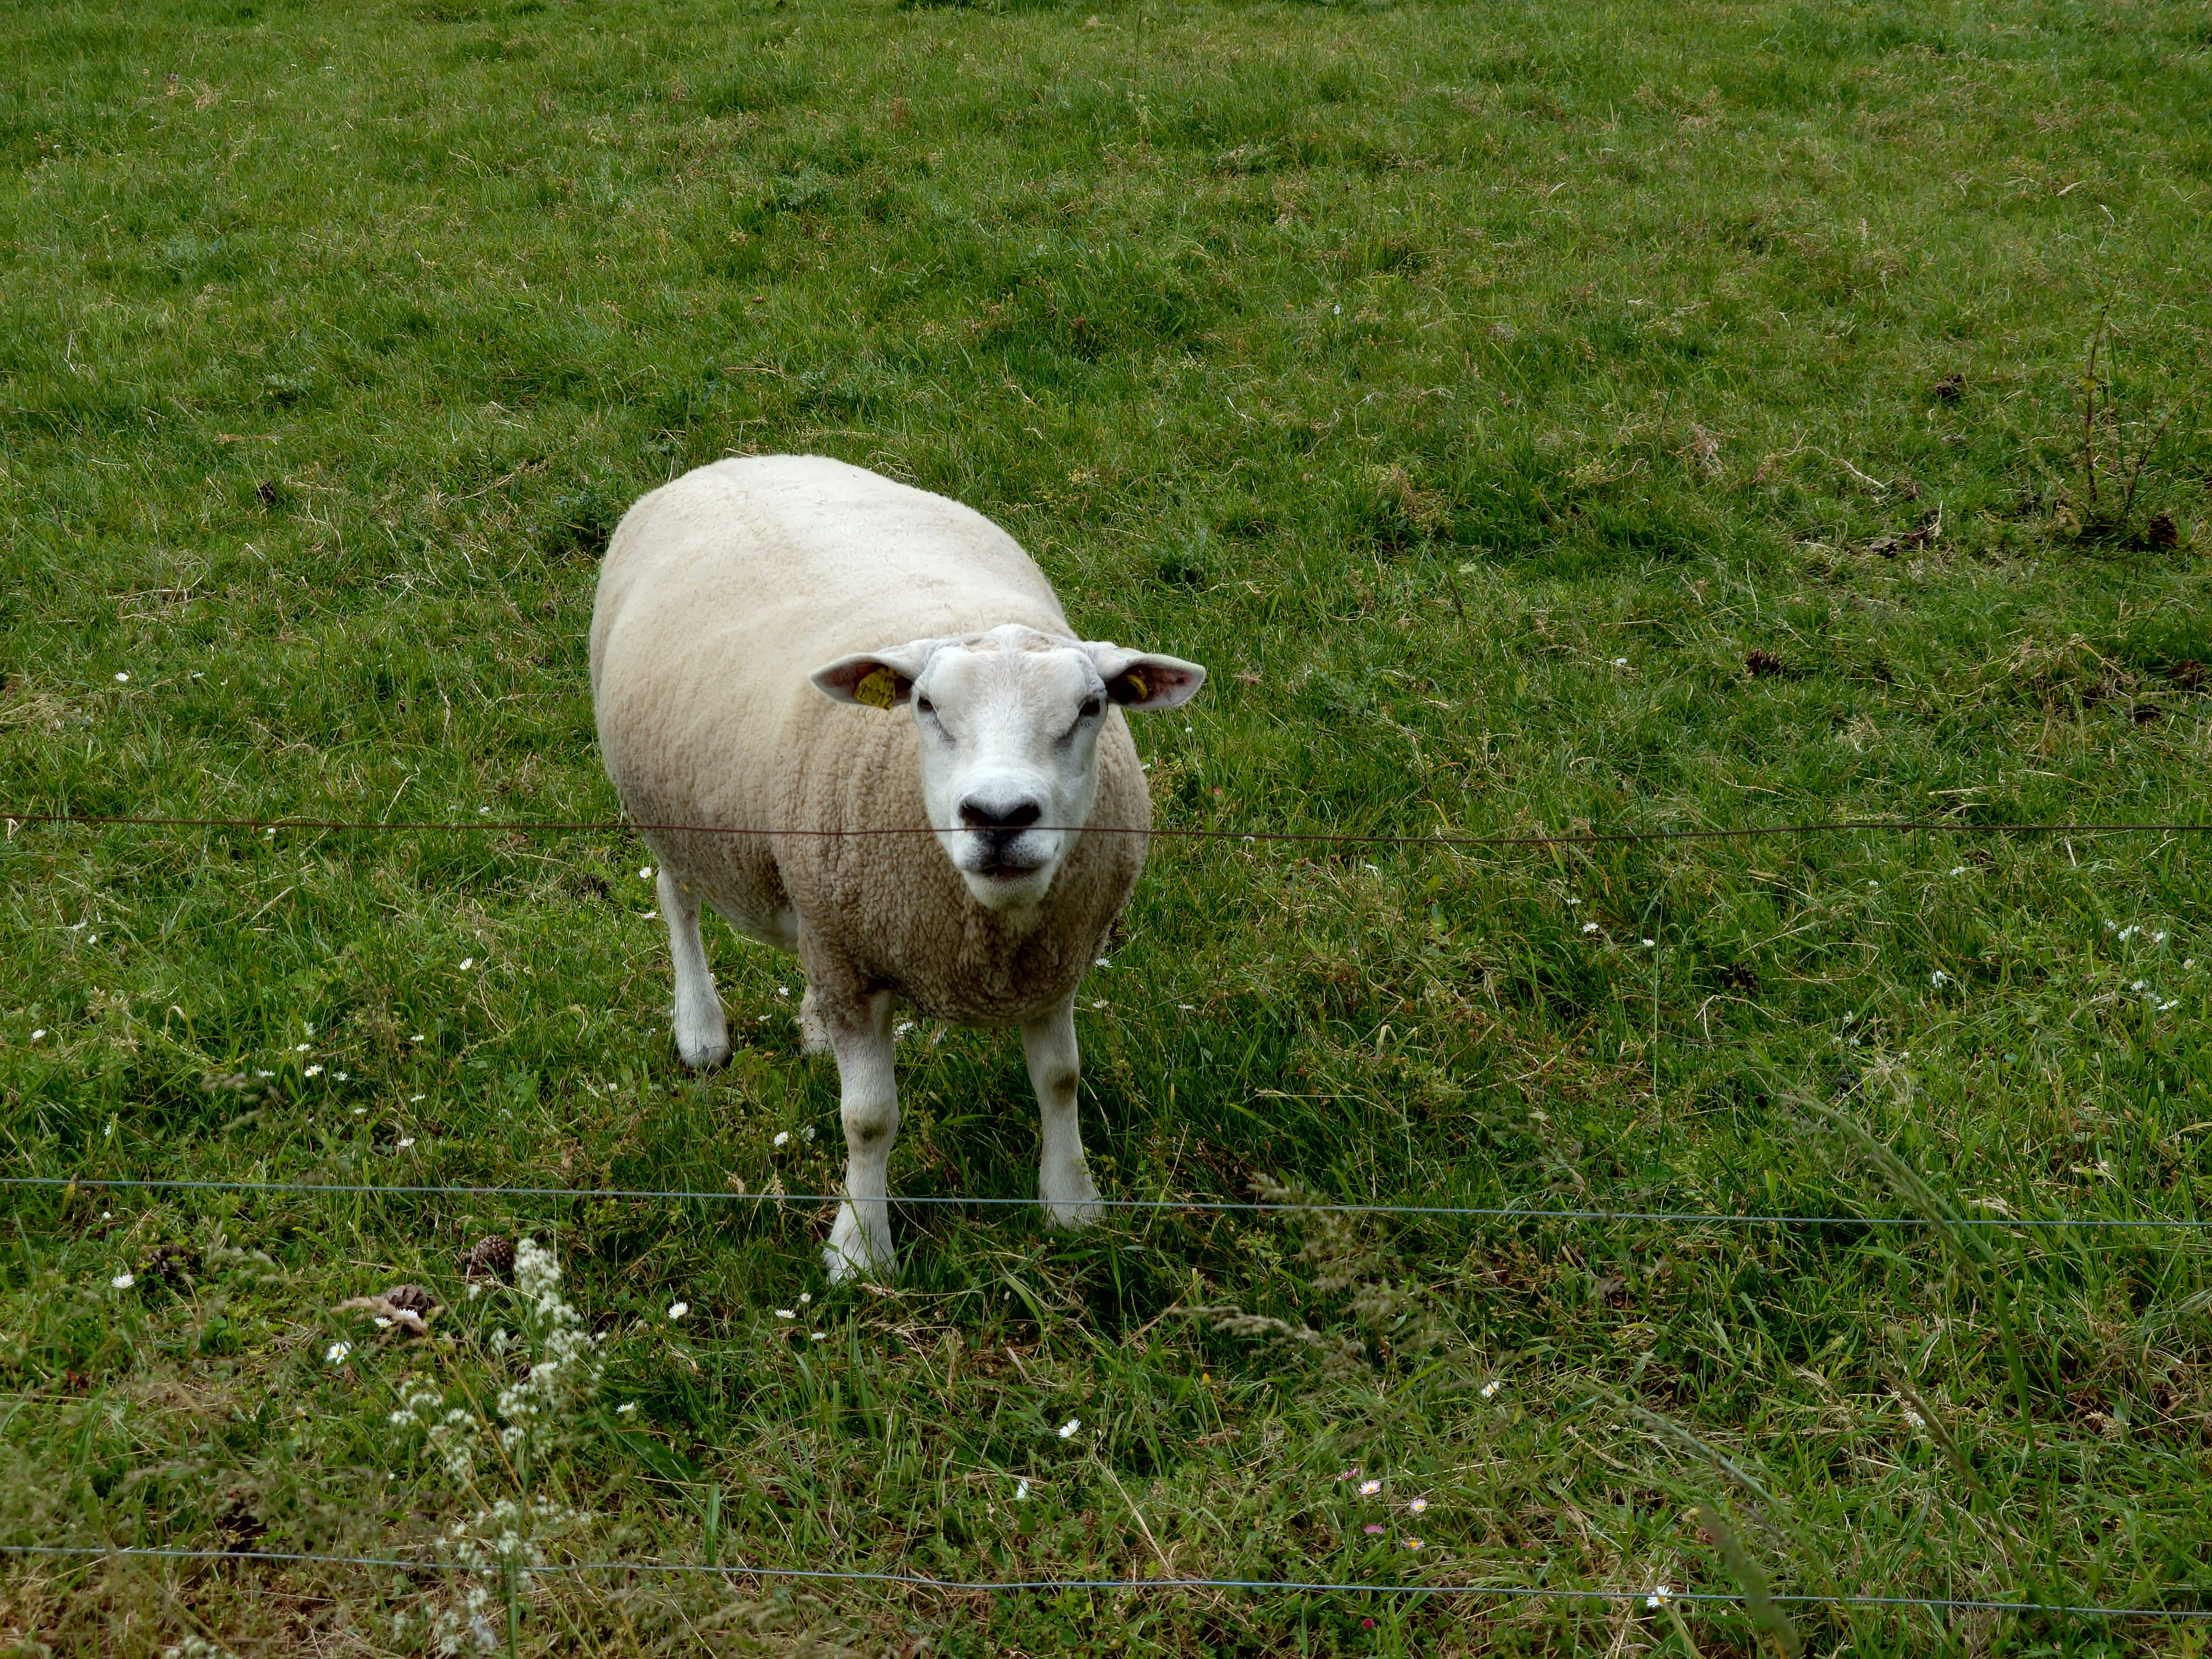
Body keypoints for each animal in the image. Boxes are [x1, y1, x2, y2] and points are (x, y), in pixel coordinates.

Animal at [589, 455, 1205, 1281]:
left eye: (1091, 706)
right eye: (925, 706)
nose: (999, 816)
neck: (991, 930)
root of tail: (740, 459)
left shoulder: (1053, 959)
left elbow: (1060, 1079)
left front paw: (1072, 1206)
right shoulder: (854, 963)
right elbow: (869, 1118)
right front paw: (859, 1251)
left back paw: (810, 1026)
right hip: (673, 812)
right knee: (676, 897)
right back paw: (701, 1032)